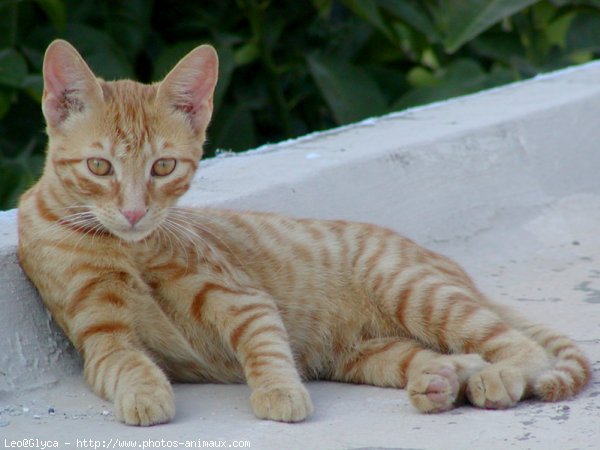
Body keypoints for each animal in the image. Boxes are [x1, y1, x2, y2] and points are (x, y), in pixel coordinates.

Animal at [17, 39, 592, 426]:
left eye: (163, 168)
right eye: (99, 167)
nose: (135, 213)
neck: (128, 250)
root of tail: (452, 269)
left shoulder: (241, 298)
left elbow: (264, 345)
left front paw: (278, 391)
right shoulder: (100, 338)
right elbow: (127, 364)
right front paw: (144, 394)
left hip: (415, 291)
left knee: (516, 345)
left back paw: (499, 377)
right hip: (372, 354)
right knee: (456, 356)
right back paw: (442, 382)